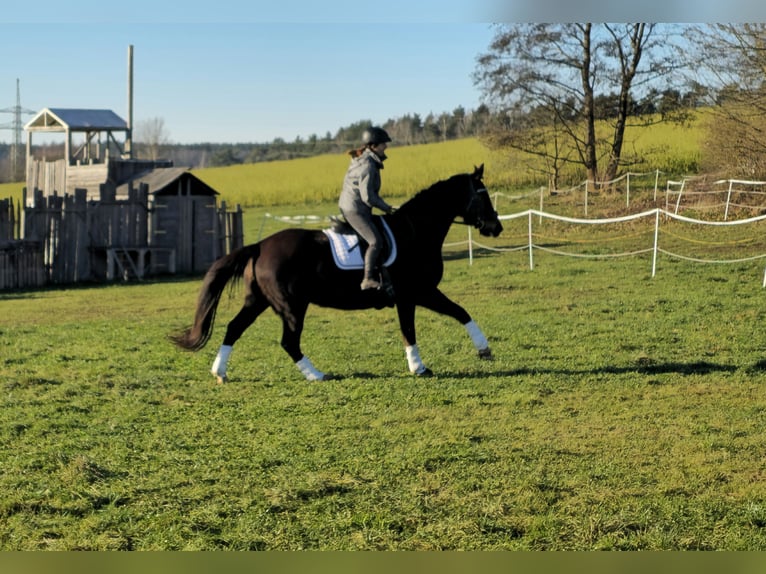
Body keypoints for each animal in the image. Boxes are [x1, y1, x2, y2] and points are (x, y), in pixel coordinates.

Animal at [175, 165, 508, 382]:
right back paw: (316, 374)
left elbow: (455, 314)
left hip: (258, 301)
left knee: (234, 328)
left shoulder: (419, 294)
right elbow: (423, 325)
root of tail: (259, 246)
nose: (496, 227)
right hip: (292, 306)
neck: (416, 231)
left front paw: (480, 350)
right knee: (289, 341)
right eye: (482, 196)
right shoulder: (415, 294)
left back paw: (219, 372)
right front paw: (423, 367)